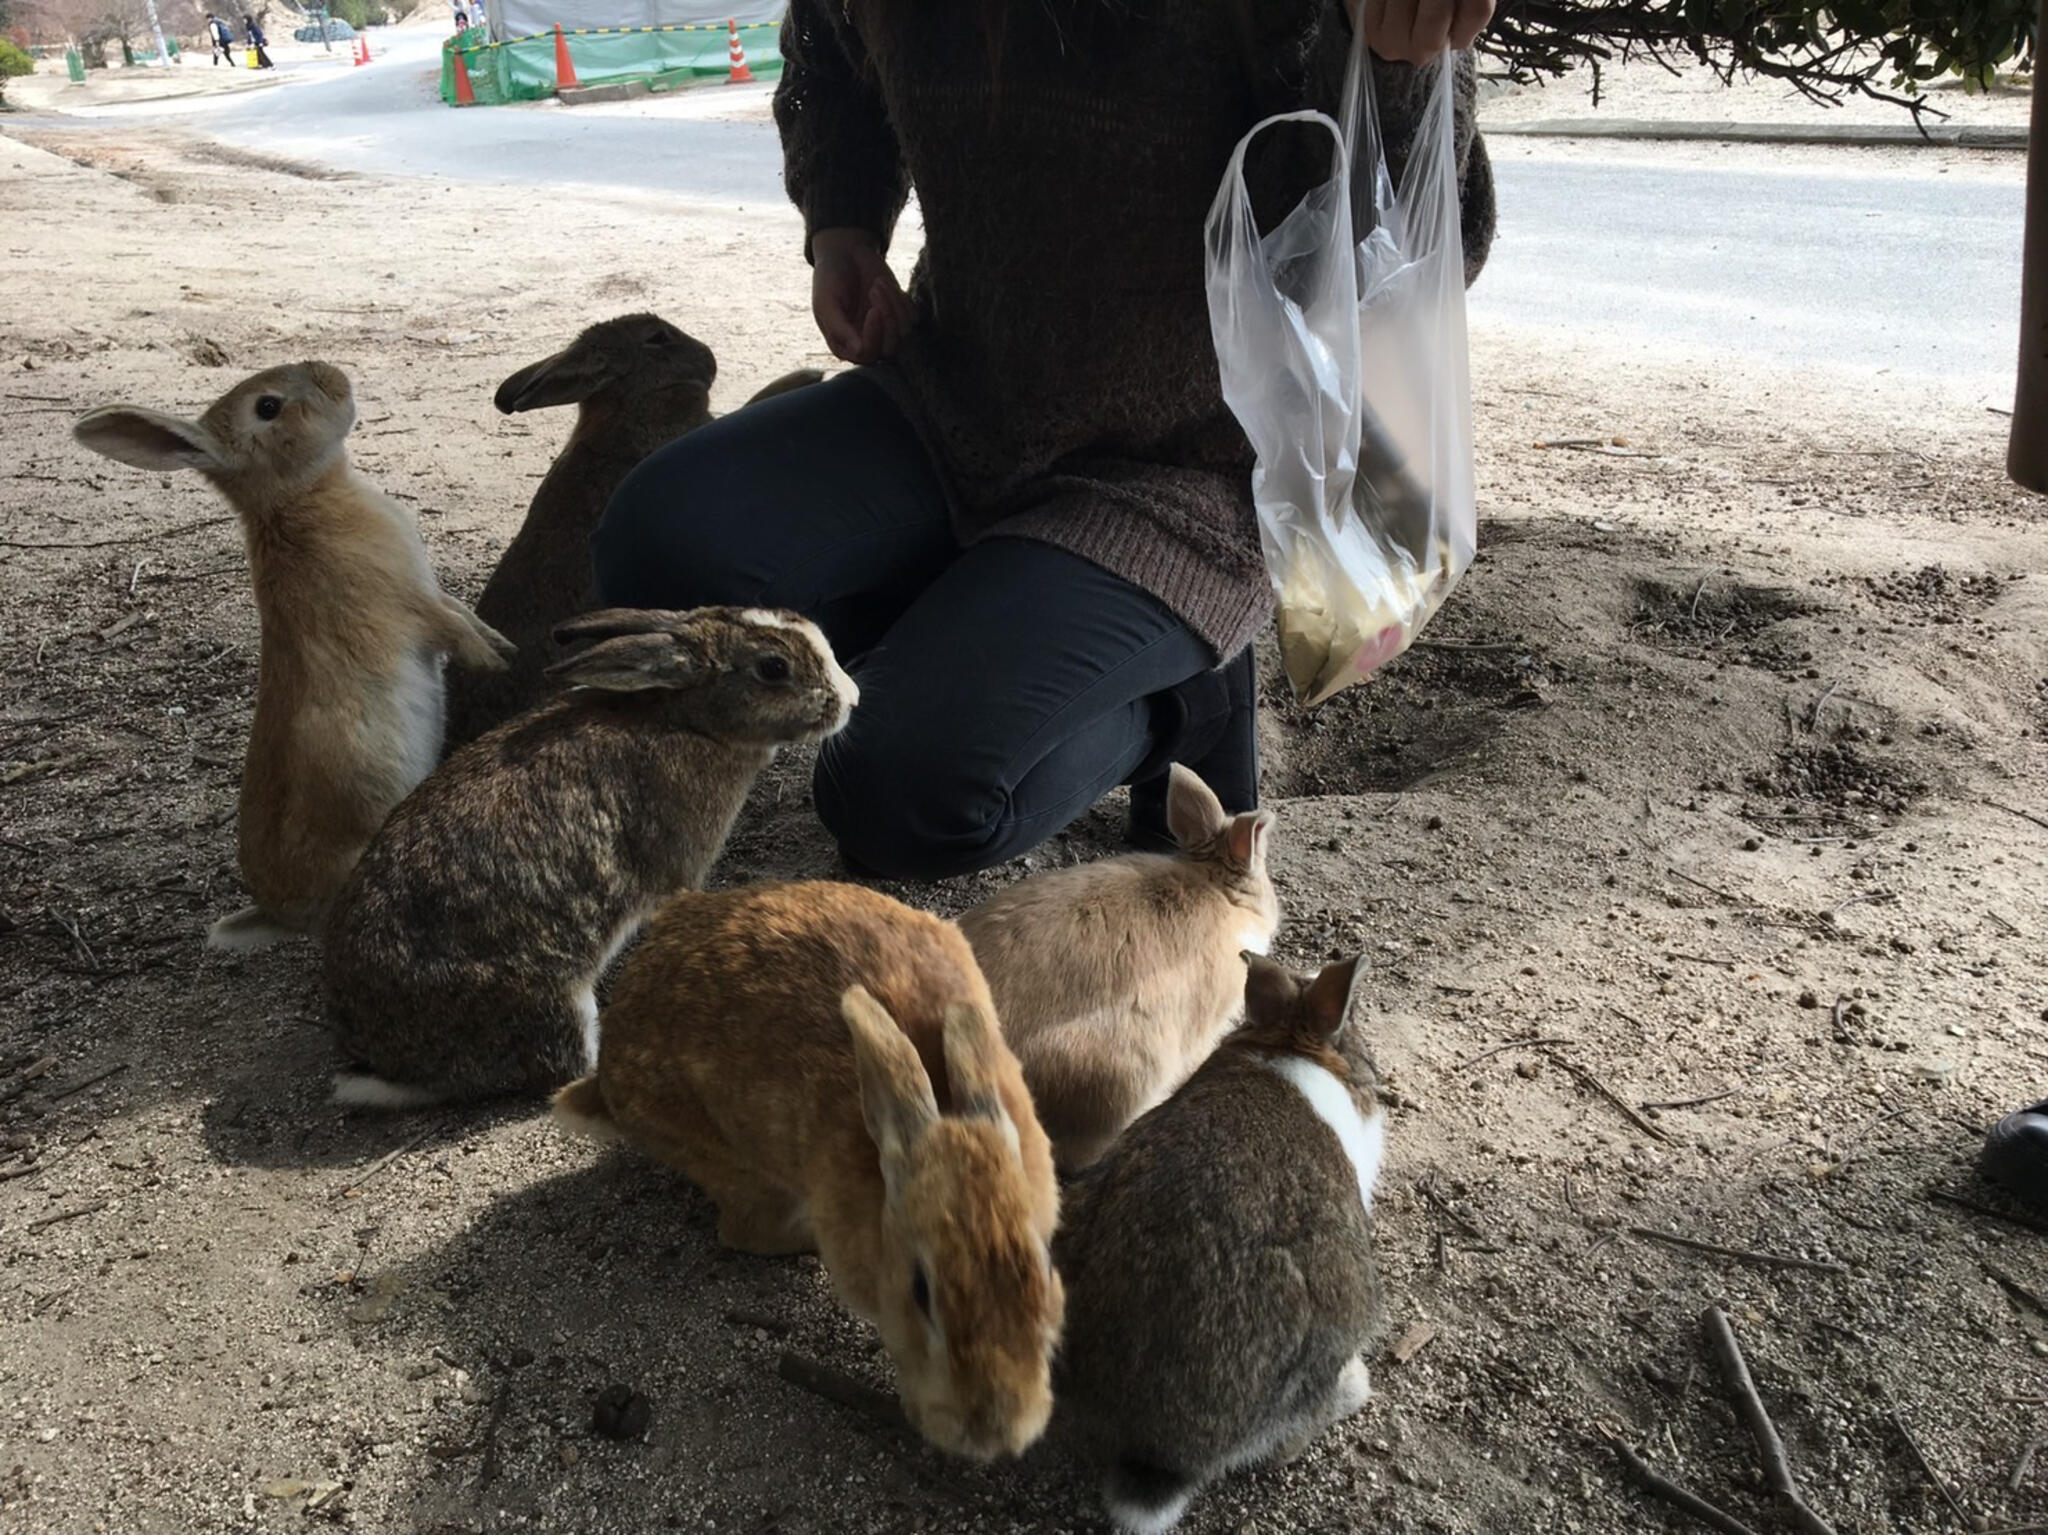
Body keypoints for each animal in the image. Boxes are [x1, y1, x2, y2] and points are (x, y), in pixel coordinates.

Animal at [317, 605, 856, 1113]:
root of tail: (389, 1060)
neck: (686, 718)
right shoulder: (680, 867)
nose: (850, 699)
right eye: (773, 667)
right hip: (551, 1000)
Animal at [1048, 957, 1384, 1530]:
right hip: (1337, 1318)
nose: (1374, 1075)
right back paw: (1354, 1389)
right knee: (1286, 1443)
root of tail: (1158, 1456)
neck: (1290, 1044)